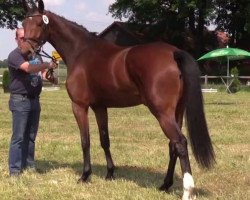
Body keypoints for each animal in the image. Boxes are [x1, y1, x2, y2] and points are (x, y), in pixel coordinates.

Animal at [21, 0, 215, 199]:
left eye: (39, 23)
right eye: (23, 23)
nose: (25, 51)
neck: (81, 51)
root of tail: (174, 53)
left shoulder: (79, 106)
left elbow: (85, 140)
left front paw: (85, 175)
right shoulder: (100, 107)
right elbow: (104, 139)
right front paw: (110, 173)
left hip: (162, 113)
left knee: (180, 143)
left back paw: (187, 190)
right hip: (177, 112)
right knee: (173, 145)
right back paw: (165, 185)